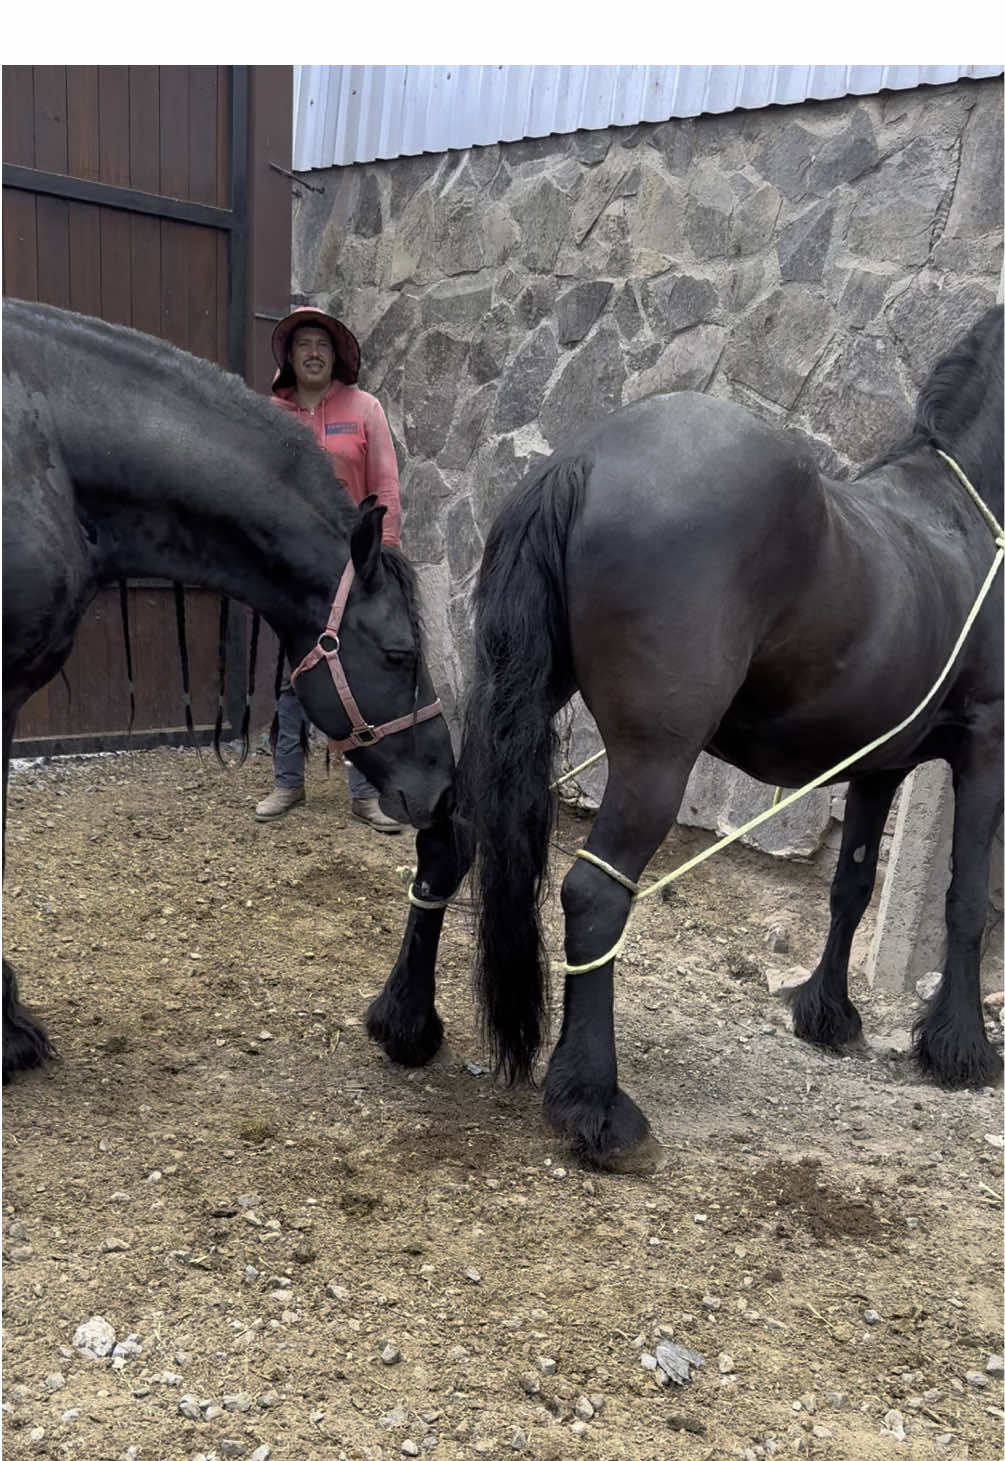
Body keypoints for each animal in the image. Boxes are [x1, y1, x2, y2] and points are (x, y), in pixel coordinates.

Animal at [365, 305, 1004, 1174]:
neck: (961, 514)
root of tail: (585, 460)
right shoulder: (985, 746)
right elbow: (964, 899)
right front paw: (960, 1047)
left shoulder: (879, 764)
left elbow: (851, 886)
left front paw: (826, 1014)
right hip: (656, 760)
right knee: (594, 893)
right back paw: (593, 1103)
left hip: (506, 706)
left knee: (450, 840)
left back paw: (406, 1021)